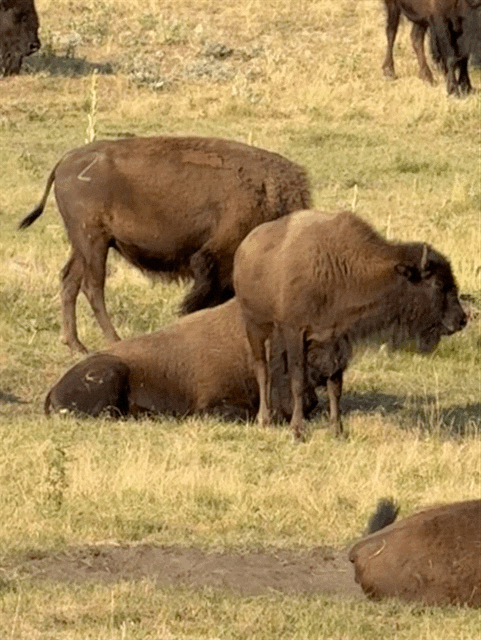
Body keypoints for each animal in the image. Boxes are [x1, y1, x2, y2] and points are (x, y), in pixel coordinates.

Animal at [19, 135, 311, 354]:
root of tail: (65, 161)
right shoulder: (216, 260)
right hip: (93, 241)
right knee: (93, 286)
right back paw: (114, 340)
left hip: (84, 245)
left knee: (70, 280)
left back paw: (77, 345)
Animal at [233, 210, 467, 441]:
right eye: (437, 283)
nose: (461, 320)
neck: (340, 268)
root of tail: (244, 248)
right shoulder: (295, 333)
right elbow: (298, 381)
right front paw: (298, 431)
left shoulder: (336, 341)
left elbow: (335, 387)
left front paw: (338, 430)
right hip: (255, 325)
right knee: (262, 369)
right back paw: (264, 419)